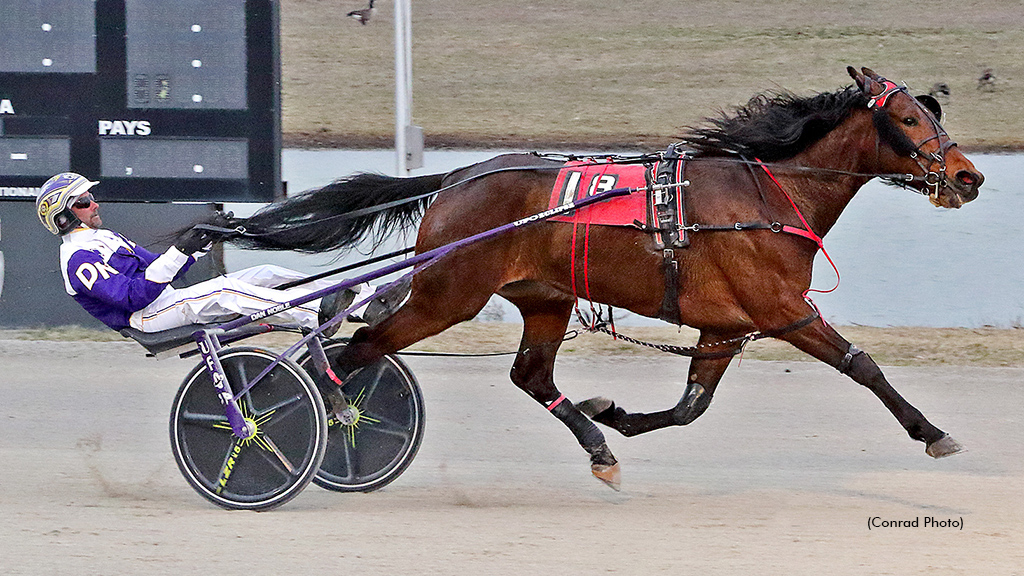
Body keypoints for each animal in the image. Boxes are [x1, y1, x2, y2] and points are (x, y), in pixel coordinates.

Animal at [226, 67, 983, 485]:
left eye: (931, 112)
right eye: (909, 117)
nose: (968, 176)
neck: (766, 194)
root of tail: (457, 177)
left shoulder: (724, 325)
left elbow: (690, 406)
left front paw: (613, 414)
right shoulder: (783, 310)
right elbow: (863, 366)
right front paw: (932, 432)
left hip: (544, 297)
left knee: (529, 375)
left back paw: (596, 447)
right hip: (448, 293)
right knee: (357, 348)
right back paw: (317, 415)